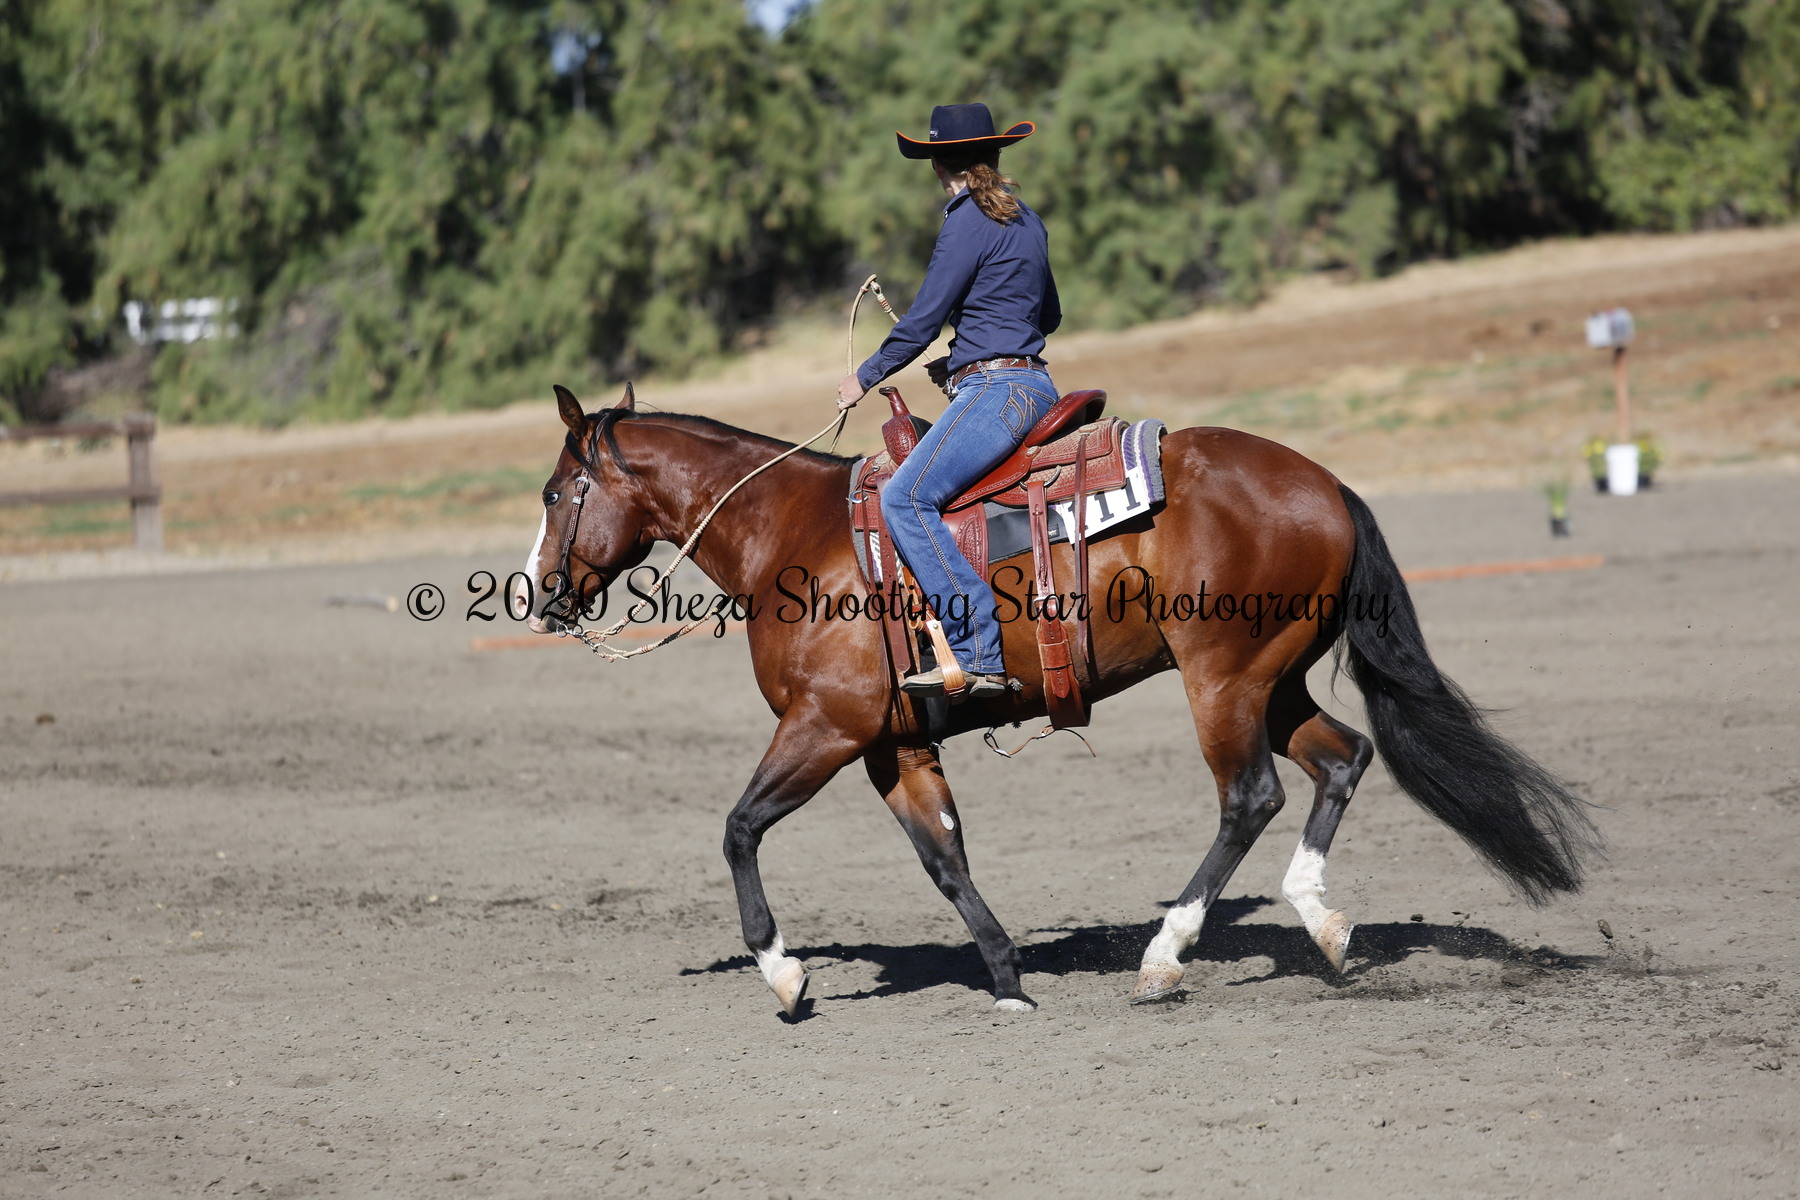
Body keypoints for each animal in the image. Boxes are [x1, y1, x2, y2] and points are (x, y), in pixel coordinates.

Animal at [515, 383, 1601, 1017]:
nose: (536, 593)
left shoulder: (825, 726)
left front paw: (783, 975)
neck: (796, 532)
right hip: (1274, 680)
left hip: (1222, 681)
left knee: (1249, 798)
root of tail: (1327, 484)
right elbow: (944, 856)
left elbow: (739, 827)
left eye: (556, 491)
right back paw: (1322, 924)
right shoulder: (892, 746)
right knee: (1342, 758)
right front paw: (1004, 976)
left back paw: (1166, 956)